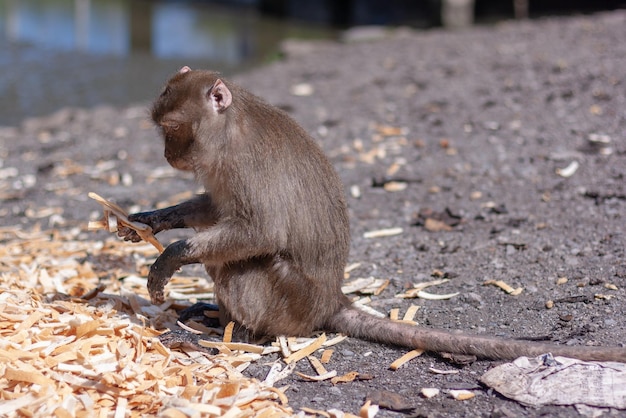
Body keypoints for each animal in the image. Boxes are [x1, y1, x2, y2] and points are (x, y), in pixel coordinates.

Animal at [118, 66, 624, 362]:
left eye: (173, 129)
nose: (167, 154)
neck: (229, 128)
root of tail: (332, 299)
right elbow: (212, 210)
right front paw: (154, 220)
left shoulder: (244, 164)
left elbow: (259, 233)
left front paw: (171, 256)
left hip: (294, 299)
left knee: (244, 265)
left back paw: (243, 333)